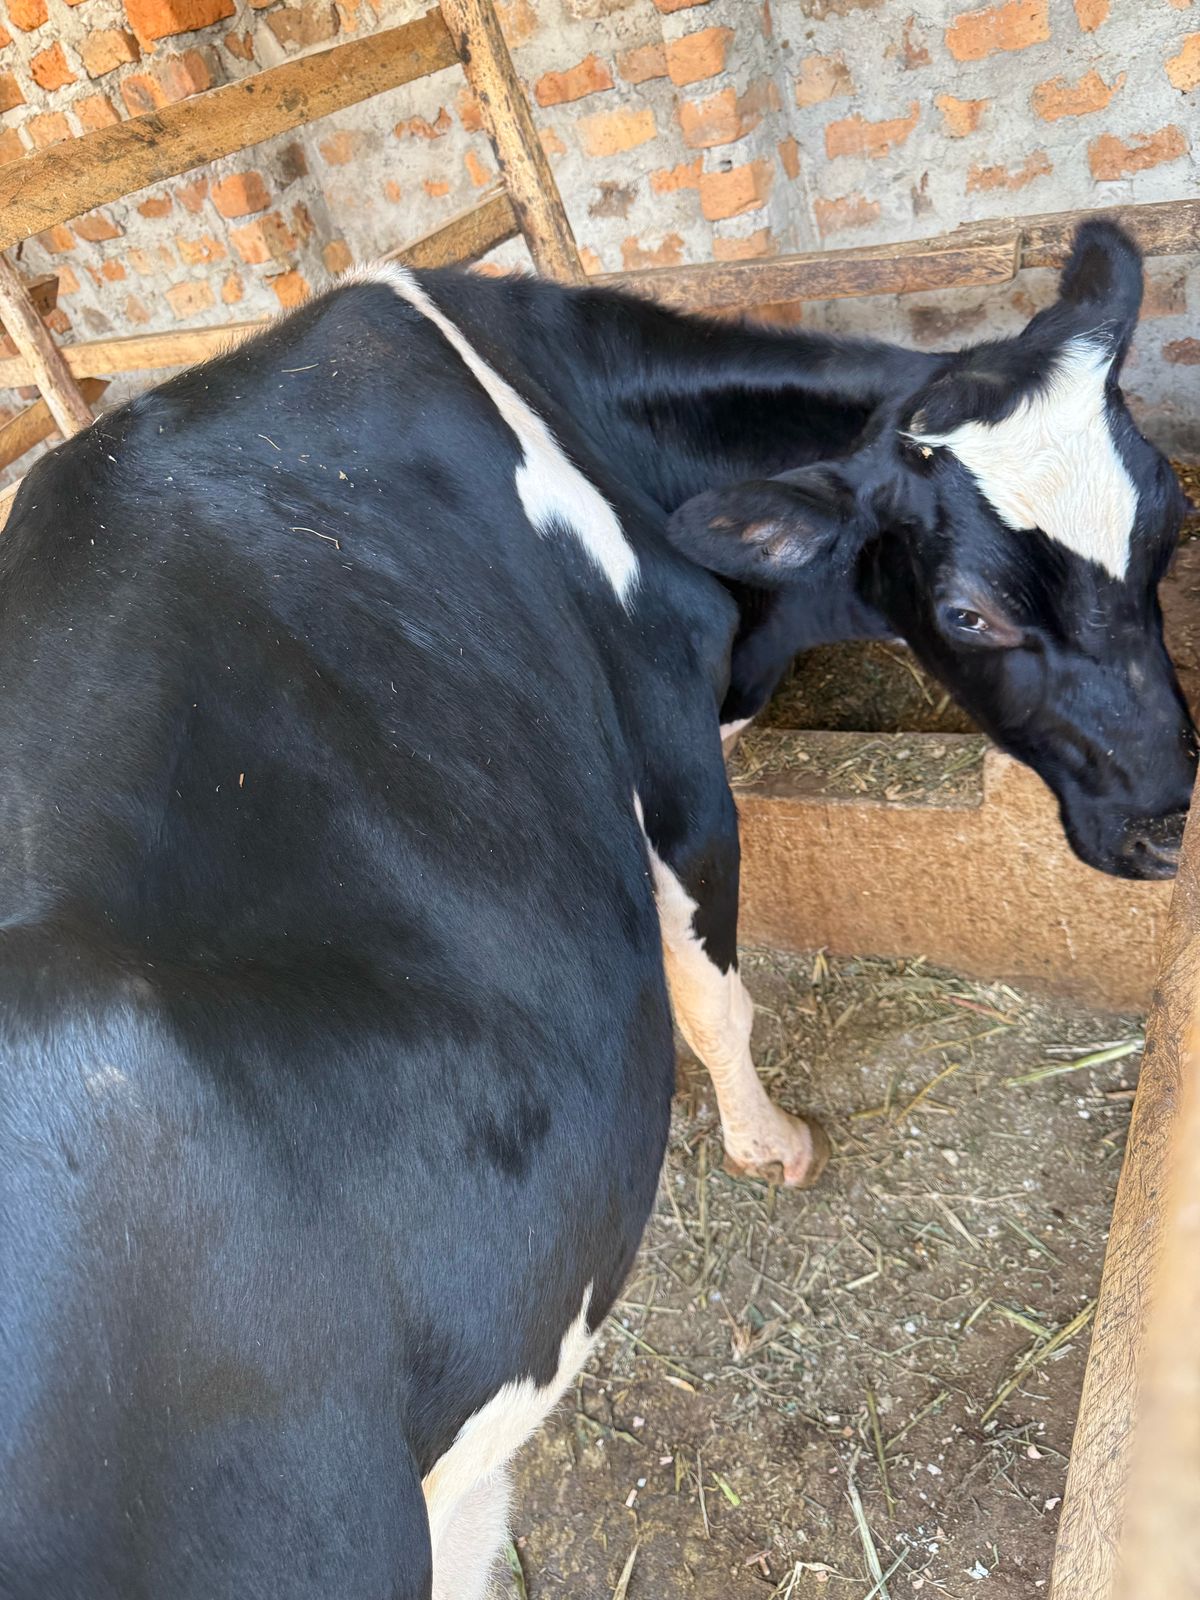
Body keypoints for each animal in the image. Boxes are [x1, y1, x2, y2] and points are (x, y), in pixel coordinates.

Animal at [0, 220, 1189, 1600]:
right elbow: (712, 992)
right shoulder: (669, 744)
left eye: (1171, 522)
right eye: (969, 611)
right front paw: (770, 1144)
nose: (1169, 812)